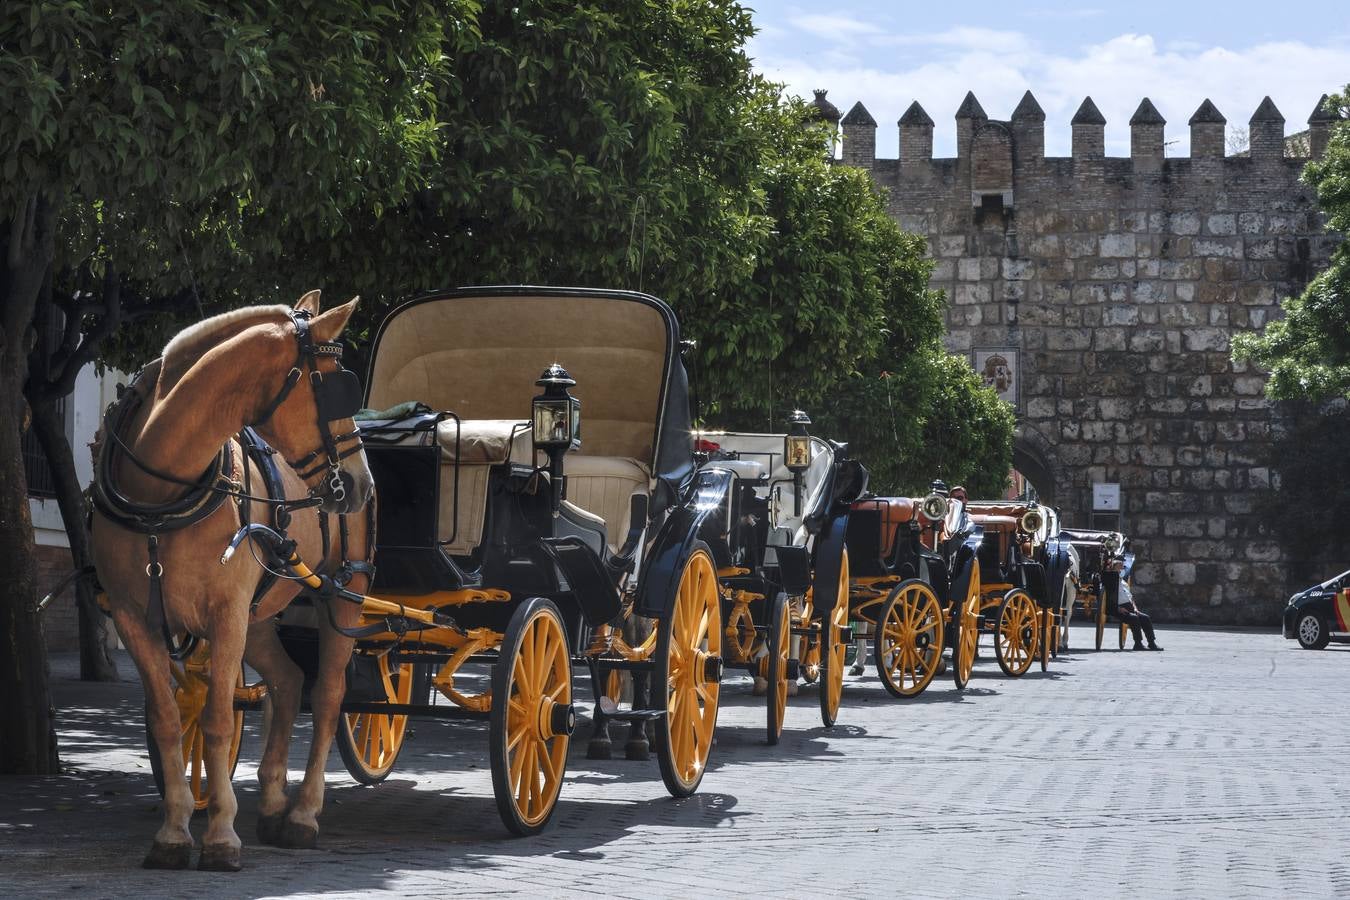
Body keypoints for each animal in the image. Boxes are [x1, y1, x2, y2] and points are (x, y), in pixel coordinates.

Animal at [91, 292, 375, 868]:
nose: (361, 484)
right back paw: (272, 802)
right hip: (261, 613)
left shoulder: (224, 617)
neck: (159, 495)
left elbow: (219, 719)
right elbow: (168, 719)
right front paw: (175, 831)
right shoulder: (135, 619)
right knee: (288, 682)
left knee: (328, 695)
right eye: (335, 386)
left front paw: (221, 834)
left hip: (343, 594)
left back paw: (304, 813)